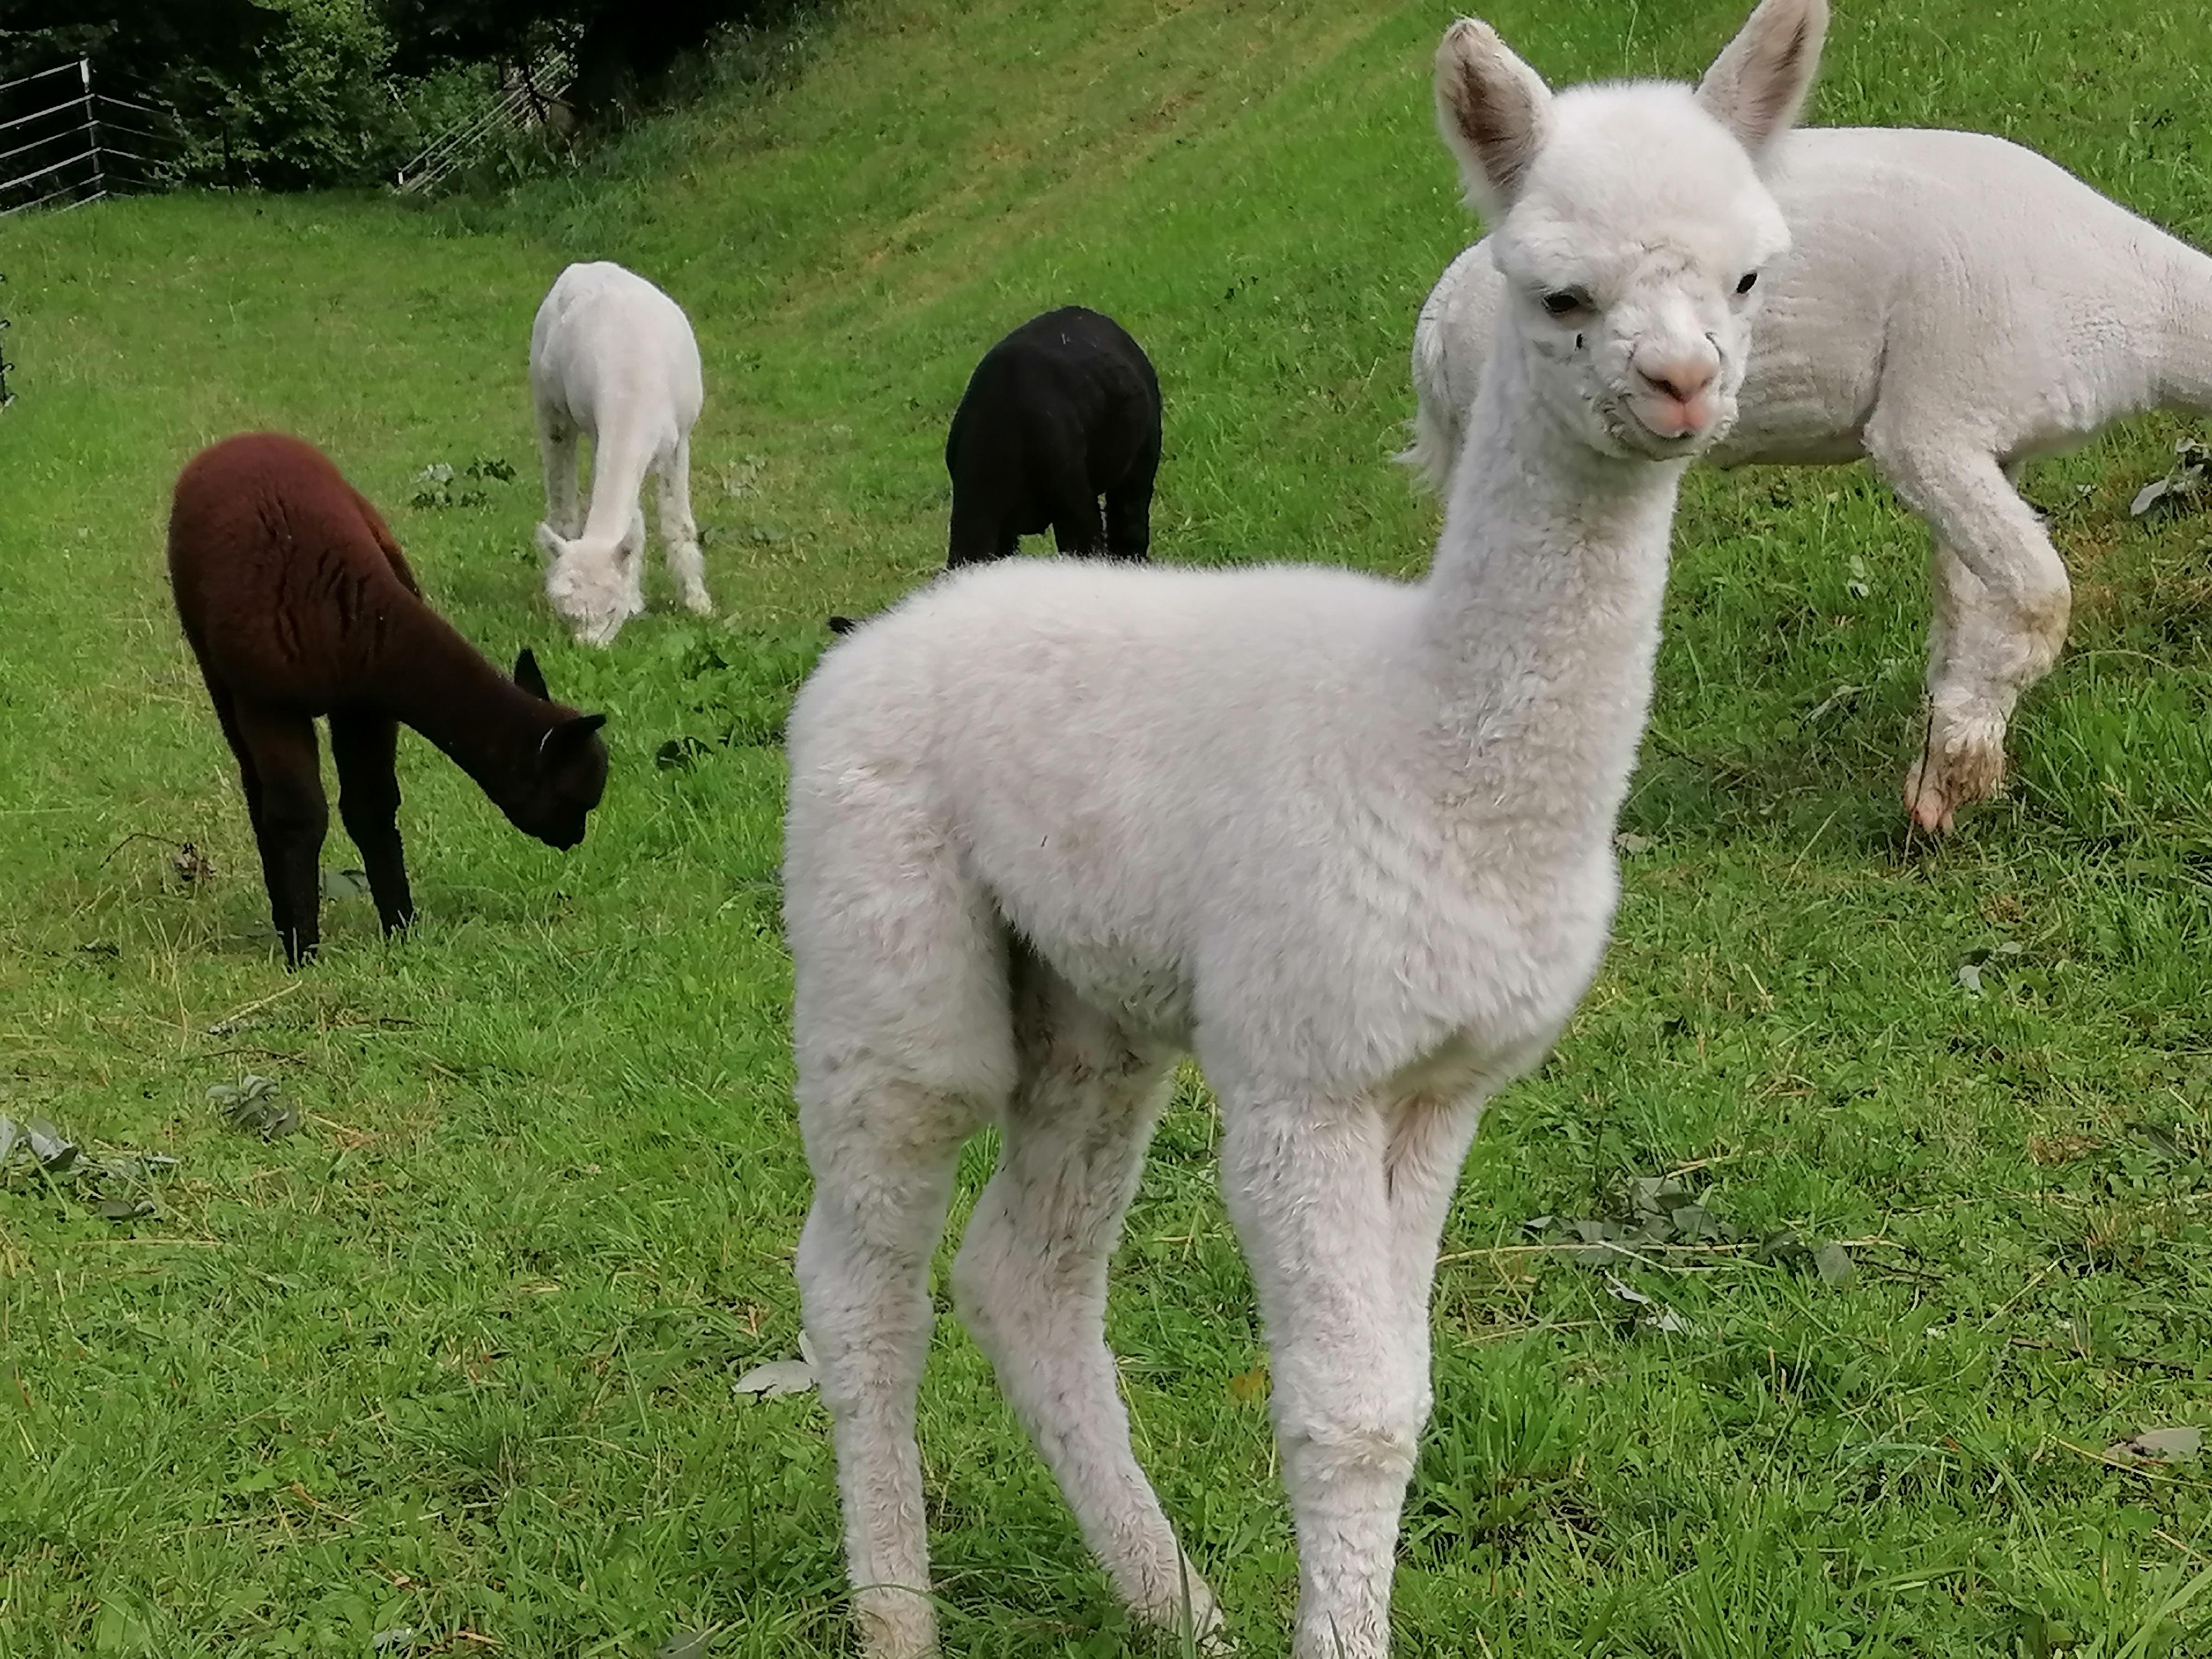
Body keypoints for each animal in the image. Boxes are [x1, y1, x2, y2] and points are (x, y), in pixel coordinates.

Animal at [169, 432, 611, 967]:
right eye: (573, 798)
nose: (574, 838)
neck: (352, 624)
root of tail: (239, 441)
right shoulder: (270, 699)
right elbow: (299, 816)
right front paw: (303, 948)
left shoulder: (366, 703)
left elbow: (372, 806)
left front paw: (400, 925)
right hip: (218, 667)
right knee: (257, 791)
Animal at [530, 260, 709, 647]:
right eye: (568, 614)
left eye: (611, 610)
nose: (588, 648)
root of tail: (581, 267)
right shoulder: (602, 434)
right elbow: (636, 521)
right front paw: (638, 599)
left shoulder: (678, 441)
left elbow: (677, 523)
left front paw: (698, 602)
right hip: (548, 396)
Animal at [783, 3, 1823, 1654]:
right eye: (1558, 289)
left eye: (1746, 275)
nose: (1679, 384)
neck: (1433, 755)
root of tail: (885, 635)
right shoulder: (1304, 1072)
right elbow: (1343, 1412)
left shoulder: (1447, 1082)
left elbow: (1403, 1395)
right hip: (885, 940)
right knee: (860, 1276)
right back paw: (898, 1614)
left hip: (1092, 999)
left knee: (1025, 1277)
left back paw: (1169, 1601)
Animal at [1406, 118, 2212, 833]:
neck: (2137, 310)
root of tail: (1434, 328)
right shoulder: (1930, 420)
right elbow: (2040, 600)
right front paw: (1952, 777)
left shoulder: (1989, 438)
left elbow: (1967, 606)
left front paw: (1939, 783)